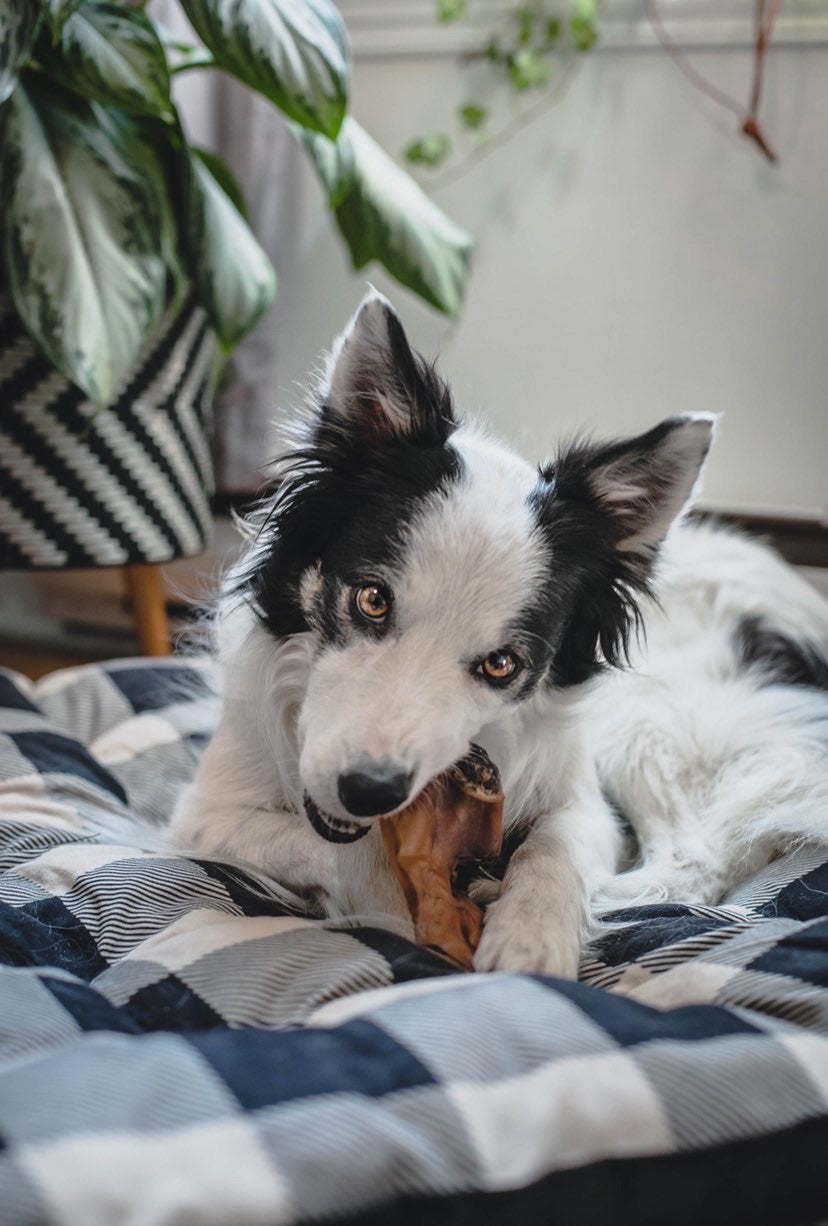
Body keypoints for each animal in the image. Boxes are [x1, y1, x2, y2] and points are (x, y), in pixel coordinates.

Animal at [170, 289, 828, 975]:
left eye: (502, 664)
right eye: (373, 599)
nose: (369, 790)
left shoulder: (582, 797)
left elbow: (555, 848)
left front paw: (531, 938)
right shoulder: (202, 813)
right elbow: (348, 854)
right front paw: (391, 902)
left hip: (644, 719)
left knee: (695, 853)